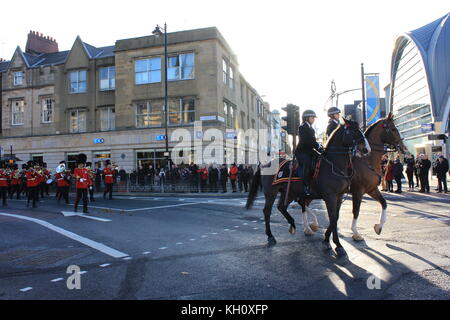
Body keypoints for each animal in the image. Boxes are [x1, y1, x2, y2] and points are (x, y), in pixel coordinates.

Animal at [246, 119, 370, 256]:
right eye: (354, 131)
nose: (367, 149)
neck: (333, 164)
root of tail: (265, 164)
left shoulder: (339, 196)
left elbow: (335, 218)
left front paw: (326, 240)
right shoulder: (330, 196)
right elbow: (332, 218)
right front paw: (338, 245)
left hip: (289, 192)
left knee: (281, 207)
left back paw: (292, 224)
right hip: (271, 192)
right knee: (267, 211)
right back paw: (270, 236)